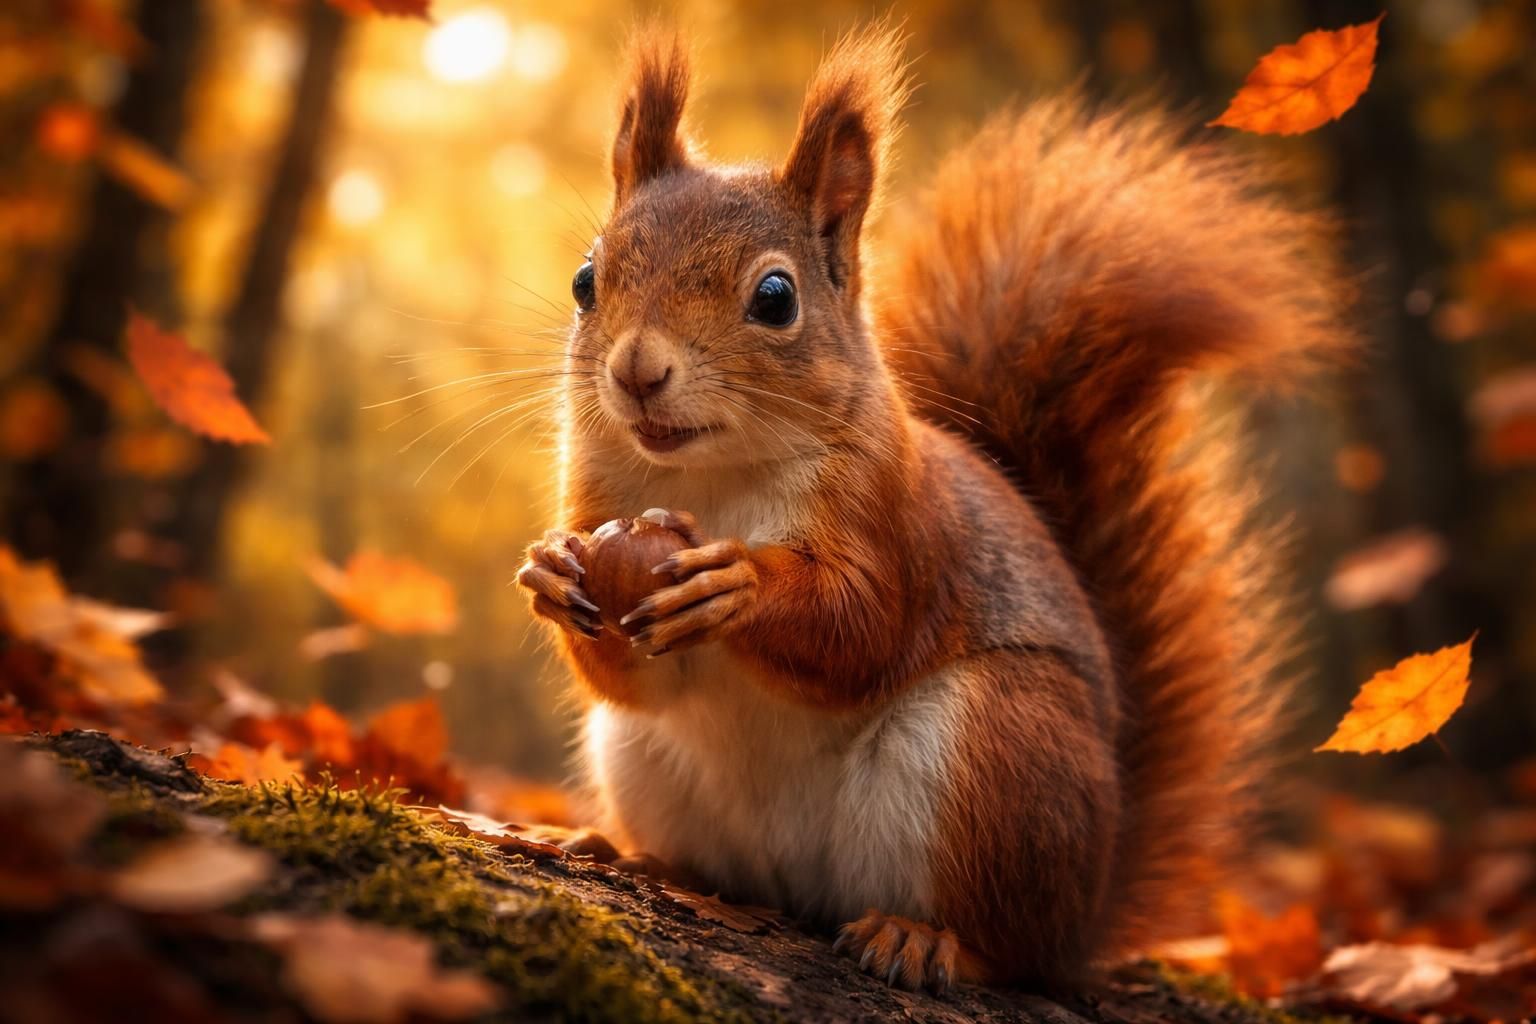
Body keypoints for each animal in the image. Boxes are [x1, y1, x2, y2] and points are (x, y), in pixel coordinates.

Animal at [515, 24, 1350, 992]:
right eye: (586, 280)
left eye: (775, 298)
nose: (638, 372)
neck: (709, 478)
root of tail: (1088, 914)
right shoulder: (600, 502)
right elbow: (633, 675)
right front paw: (552, 573)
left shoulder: (898, 522)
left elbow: (863, 626)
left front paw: (741, 587)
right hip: (641, 758)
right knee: (713, 858)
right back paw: (634, 857)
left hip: (1001, 751)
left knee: (1006, 946)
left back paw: (926, 939)